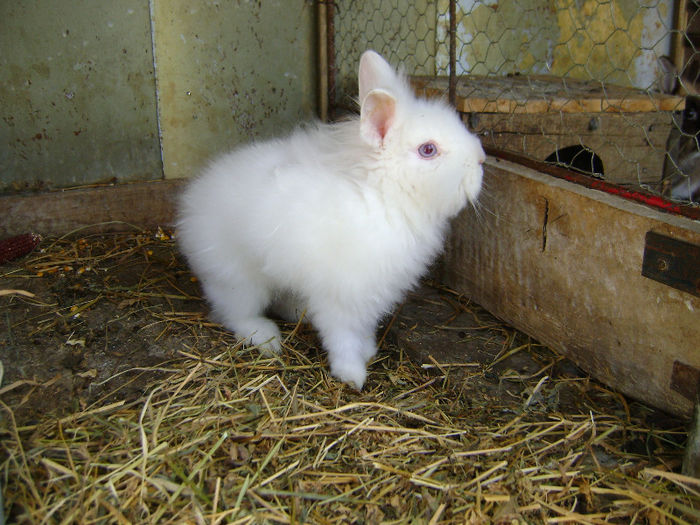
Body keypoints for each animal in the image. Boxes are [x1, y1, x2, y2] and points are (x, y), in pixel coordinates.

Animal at [178, 51, 484, 386]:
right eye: (428, 150)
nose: (481, 159)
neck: (380, 193)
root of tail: (189, 209)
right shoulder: (343, 297)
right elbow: (343, 337)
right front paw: (353, 375)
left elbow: (362, 331)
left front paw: (368, 351)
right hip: (239, 281)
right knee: (234, 313)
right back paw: (266, 338)